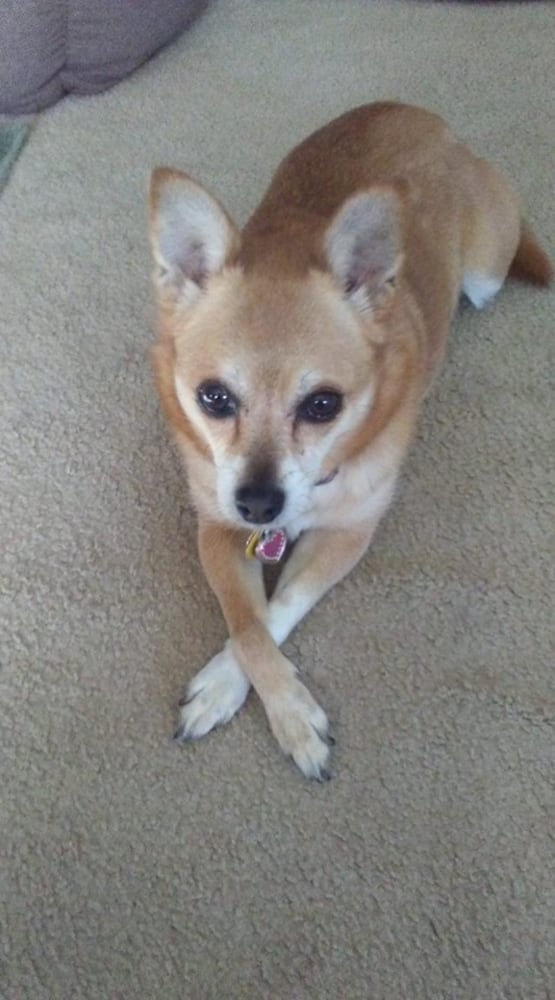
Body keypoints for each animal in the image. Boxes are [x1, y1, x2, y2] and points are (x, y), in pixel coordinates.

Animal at [148, 101, 552, 780]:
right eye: (213, 398)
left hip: (485, 272)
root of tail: (429, 120)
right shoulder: (216, 529)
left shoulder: (347, 535)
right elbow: (248, 625)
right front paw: (233, 689)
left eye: (323, 406)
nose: (258, 504)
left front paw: (281, 713)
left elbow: (278, 608)